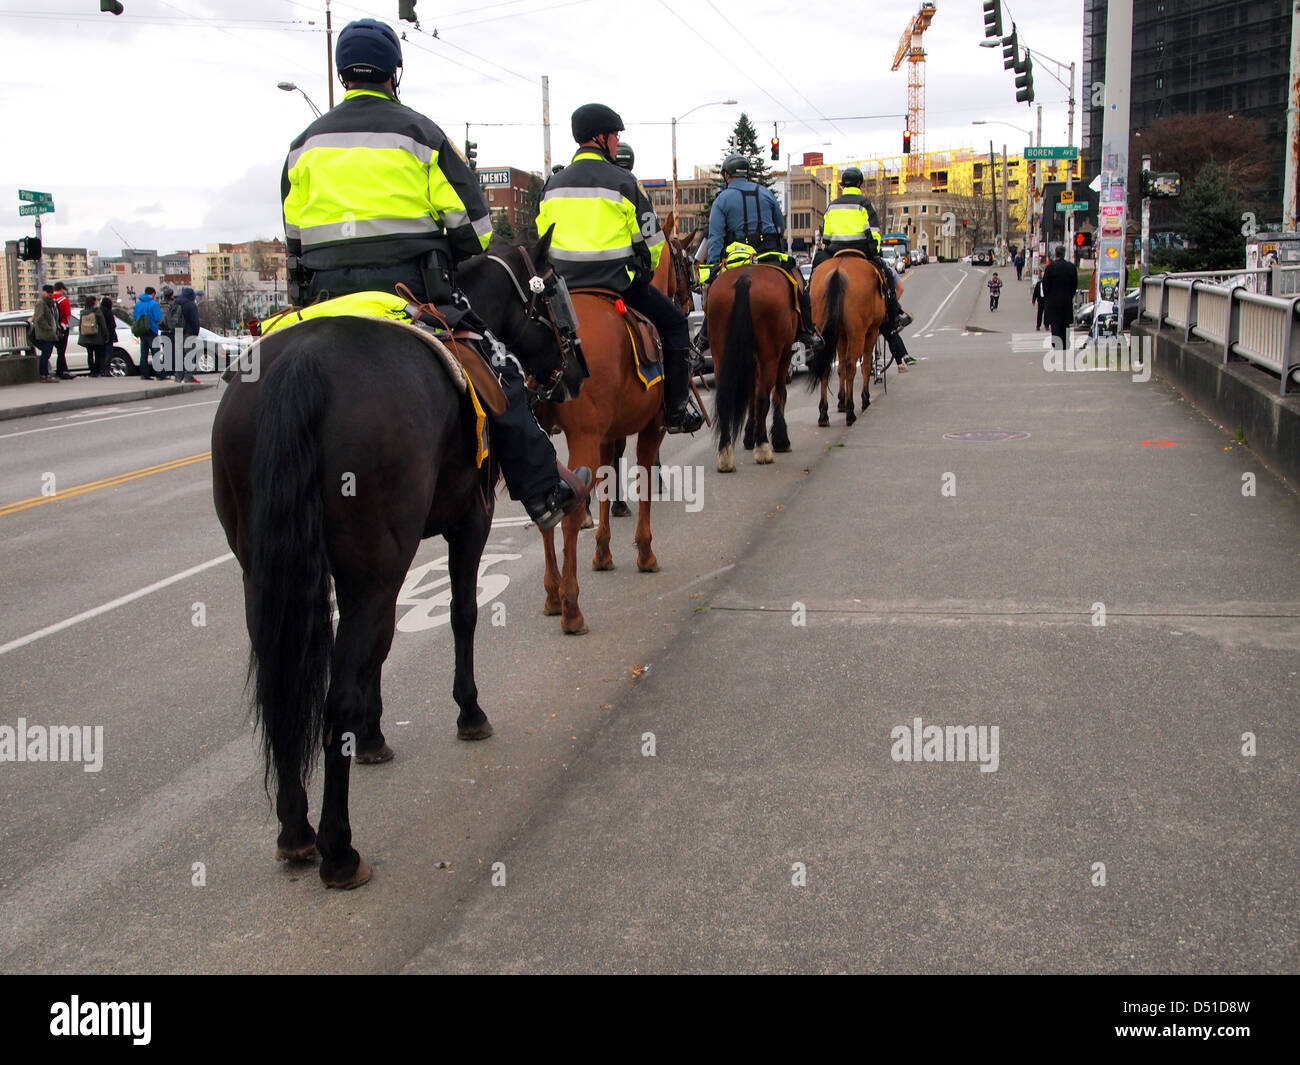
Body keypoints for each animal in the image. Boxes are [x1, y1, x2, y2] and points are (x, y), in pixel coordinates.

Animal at [213, 232, 579, 889]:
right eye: (556, 295)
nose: (575, 372)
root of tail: (301, 364)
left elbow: (378, 650)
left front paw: (375, 735)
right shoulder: (471, 520)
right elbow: (461, 615)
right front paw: (469, 711)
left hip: (267, 574)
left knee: (284, 685)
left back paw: (295, 830)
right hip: (375, 565)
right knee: (334, 696)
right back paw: (338, 848)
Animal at [707, 263, 795, 473]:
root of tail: (745, 278)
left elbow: (750, 396)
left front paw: (749, 436)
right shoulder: (785, 354)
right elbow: (779, 393)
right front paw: (780, 439)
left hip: (720, 354)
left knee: (724, 399)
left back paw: (725, 456)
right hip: (769, 356)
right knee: (763, 396)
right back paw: (763, 448)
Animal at [806, 252, 889, 426]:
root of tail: (837, 271)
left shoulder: (841, 336)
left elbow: (840, 367)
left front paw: (841, 401)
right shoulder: (871, 332)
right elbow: (864, 366)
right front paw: (864, 399)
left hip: (821, 331)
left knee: (826, 367)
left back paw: (823, 414)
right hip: (858, 333)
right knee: (852, 366)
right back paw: (851, 412)